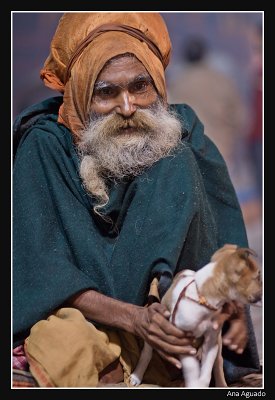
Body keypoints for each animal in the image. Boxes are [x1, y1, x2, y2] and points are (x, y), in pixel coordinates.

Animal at [129, 244, 264, 388]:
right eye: (258, 277)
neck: (202, 300)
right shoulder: (182, 339)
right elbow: (191, 368)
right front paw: (193, 382)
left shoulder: (211, 342)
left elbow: (206, 372)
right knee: (147, 353)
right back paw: (137, 376)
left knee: (218, 363)